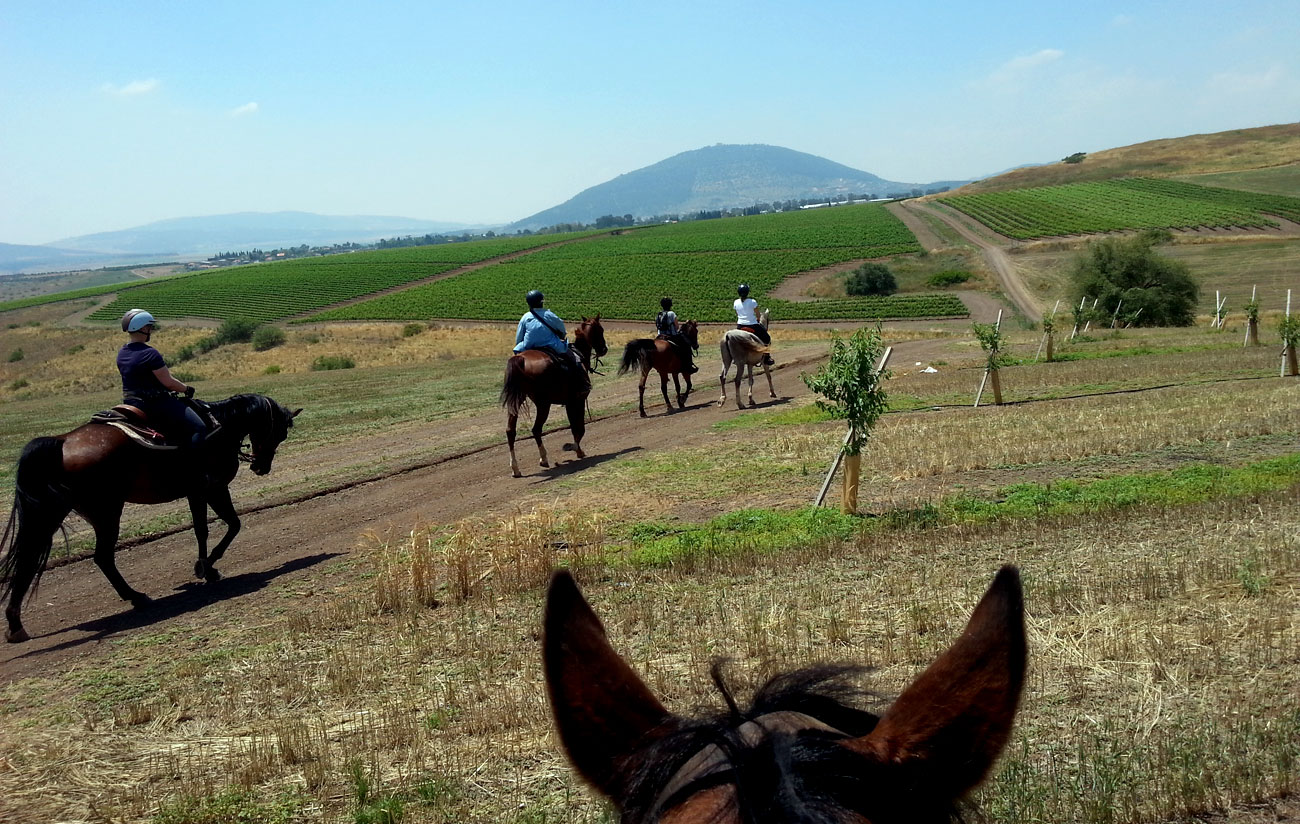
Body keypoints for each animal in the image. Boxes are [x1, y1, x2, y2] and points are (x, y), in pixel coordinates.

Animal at [1, 392, 299, 642]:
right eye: (280, 432)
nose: (261, 467)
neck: (221, 426)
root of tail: (62, 441)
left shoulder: (200, 492)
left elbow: (215, 526)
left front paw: (207, 567)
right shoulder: (210, 488)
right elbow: (221, 526)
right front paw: (206, 566)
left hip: (58, 513)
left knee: (29, 559)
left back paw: (15, 624)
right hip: (106, 513)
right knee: (101, 557)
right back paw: (136, 596)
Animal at [504, 315, 611, 480]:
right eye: (600, 330)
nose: (603, 349)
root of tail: (521, 359)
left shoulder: (569, 402)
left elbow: (575, 426)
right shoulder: (576, 401)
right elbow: (579, 427)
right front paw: (575, 448)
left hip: (517, 402)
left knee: (511, 431)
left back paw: (516, 468)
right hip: (543, 404)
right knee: (536, 429)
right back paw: (543, 458)